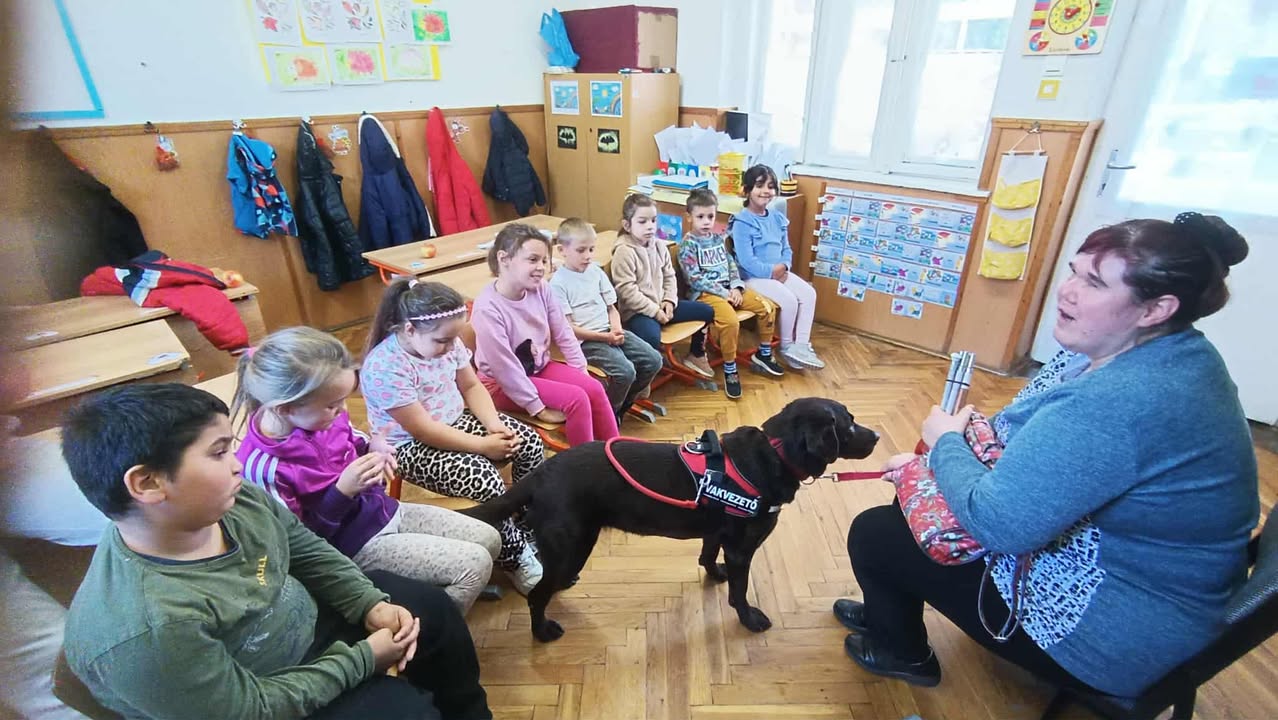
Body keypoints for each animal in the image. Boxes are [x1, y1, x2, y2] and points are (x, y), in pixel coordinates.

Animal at [462, 397, 879, 642]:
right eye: (849, 423)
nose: (875, 436)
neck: (774, 453)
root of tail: (540, 474)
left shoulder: (717, 531)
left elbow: (708, 555)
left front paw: (714, 573)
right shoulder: (742, 549)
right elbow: (740, 591)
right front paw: (749, 618)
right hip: (573, 545)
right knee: (537, 595)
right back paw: (543, 632)